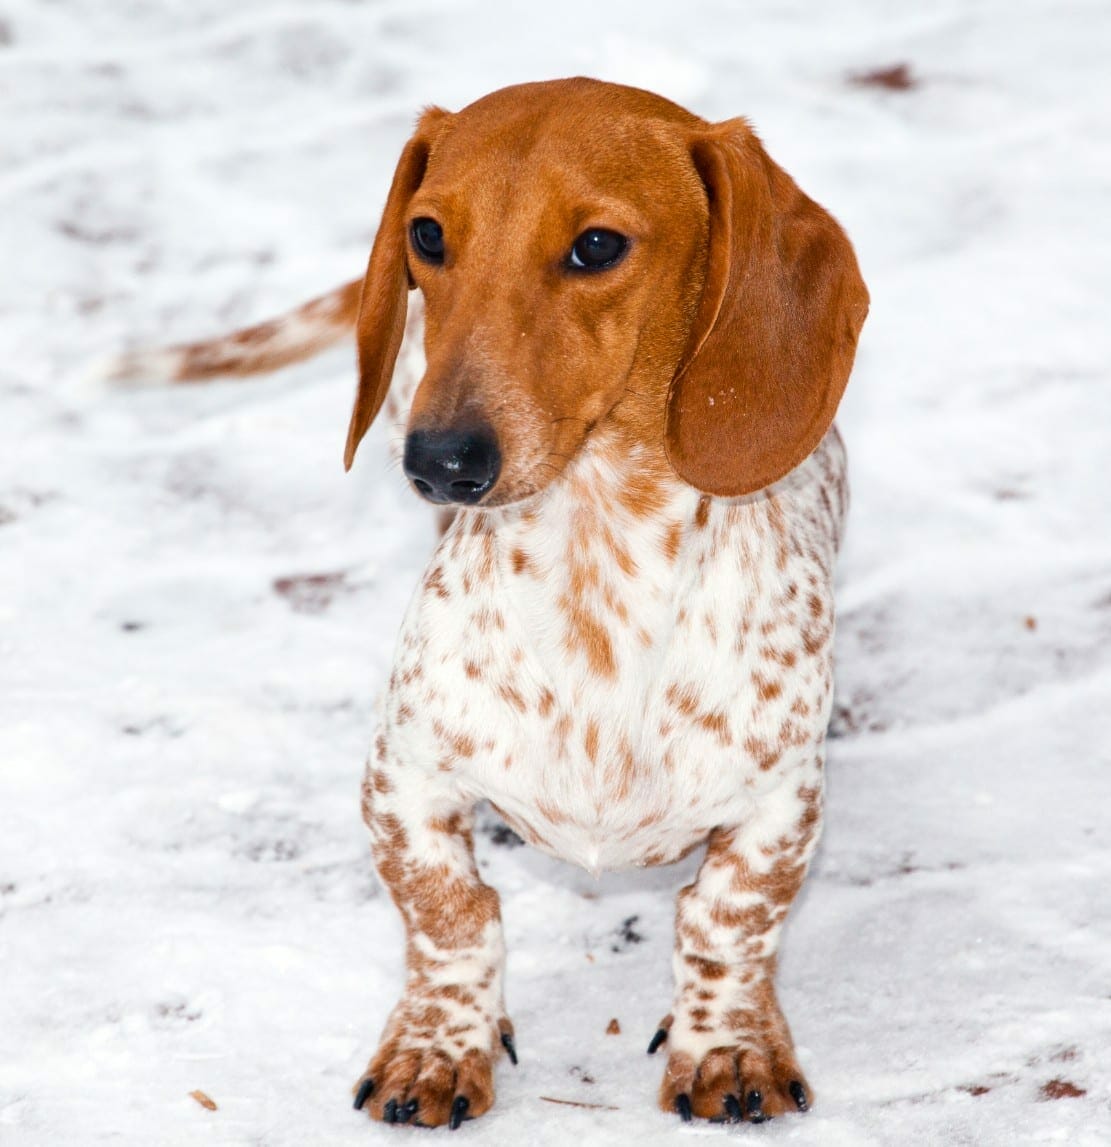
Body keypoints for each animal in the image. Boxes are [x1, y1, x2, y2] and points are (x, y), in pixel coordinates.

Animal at [108, 78, 866, 1128]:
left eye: (596, 246)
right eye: (427, 234)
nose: (440, 460)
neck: (596, 562)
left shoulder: (778, 803)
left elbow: (726, 918)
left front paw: (728, 1046)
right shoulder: (402, 778)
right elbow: (452, 913)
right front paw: (434, 1050)